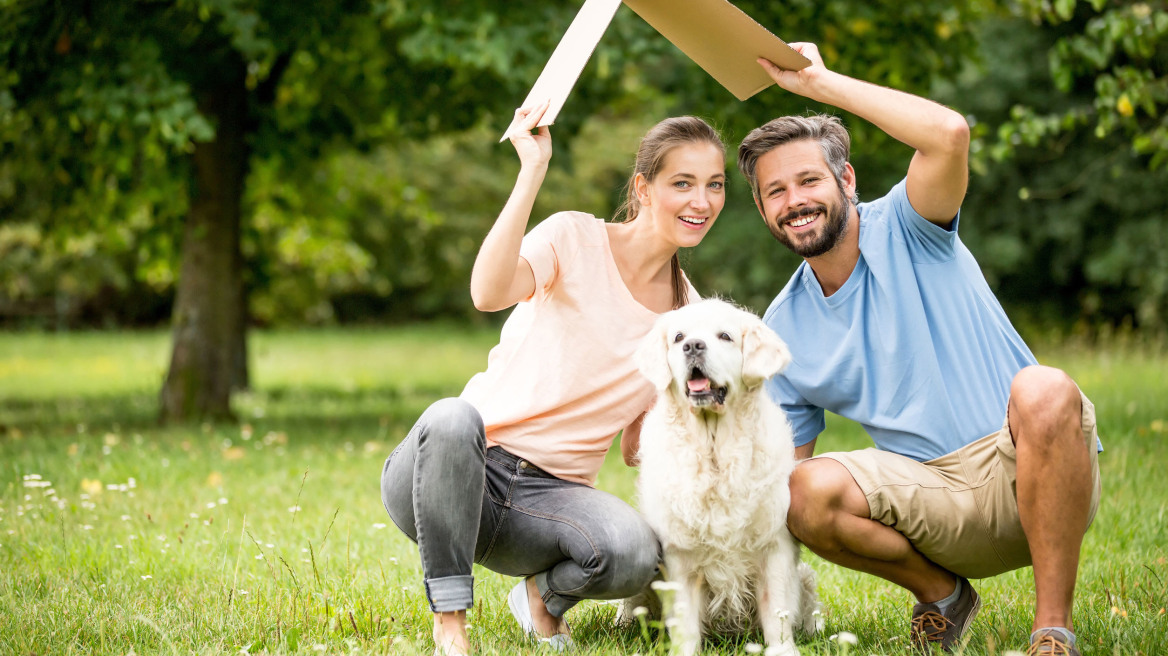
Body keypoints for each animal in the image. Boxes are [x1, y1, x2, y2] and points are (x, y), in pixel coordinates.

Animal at [630, 298, 812, 653]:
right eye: (678, 337)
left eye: (725, 336)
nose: (693, 346)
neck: (714, 452)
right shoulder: (679, 555)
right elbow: (685, 622)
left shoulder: (775, 546)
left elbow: (777, 612)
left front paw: (783, 650)